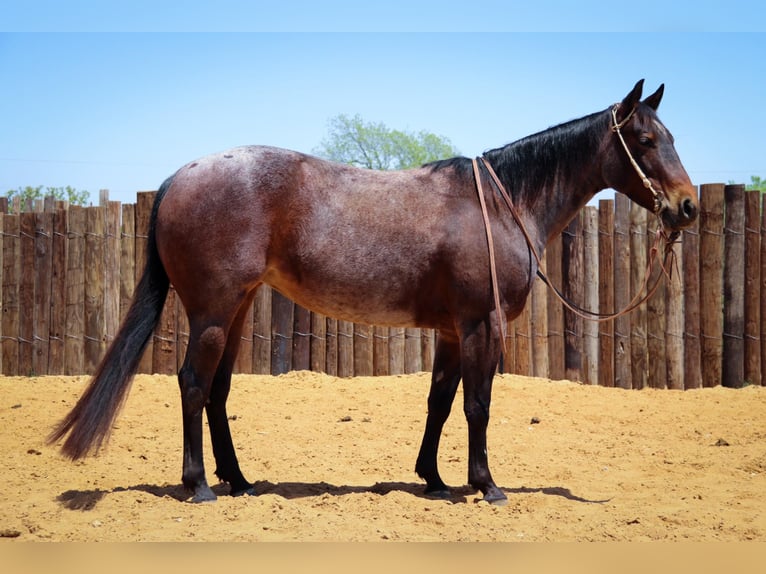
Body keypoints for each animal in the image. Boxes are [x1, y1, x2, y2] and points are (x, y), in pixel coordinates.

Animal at [49, 80, 704, 504]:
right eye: (645, 140)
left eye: (671, 134)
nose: (687, 206)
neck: (501, 204)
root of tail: (178, 176)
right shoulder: (481, 324)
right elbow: (478, 404)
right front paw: (486, 485)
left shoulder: (451, 330)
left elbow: (440, 403)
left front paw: (433, 480)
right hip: (212, 311)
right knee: (191, 384)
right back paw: (201, 486)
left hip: (235, 310)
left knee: (217, 390)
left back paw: (240, 481)